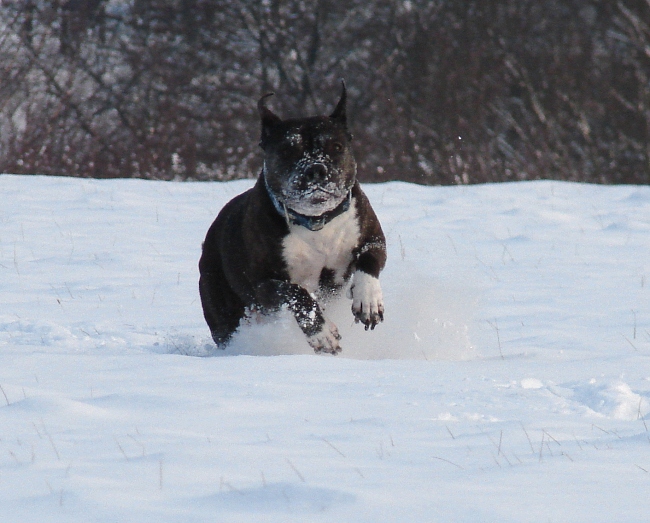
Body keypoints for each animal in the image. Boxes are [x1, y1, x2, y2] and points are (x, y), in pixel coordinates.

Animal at [195, 83, 382, 356]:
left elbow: (369, 263)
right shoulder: (265, 284)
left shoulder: (371, 236)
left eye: (336, 146)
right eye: (286, 150)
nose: (316, 169)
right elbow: (297, 294)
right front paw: (323, 334)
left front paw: (368, 301)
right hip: (222, 304)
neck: (316, 222)